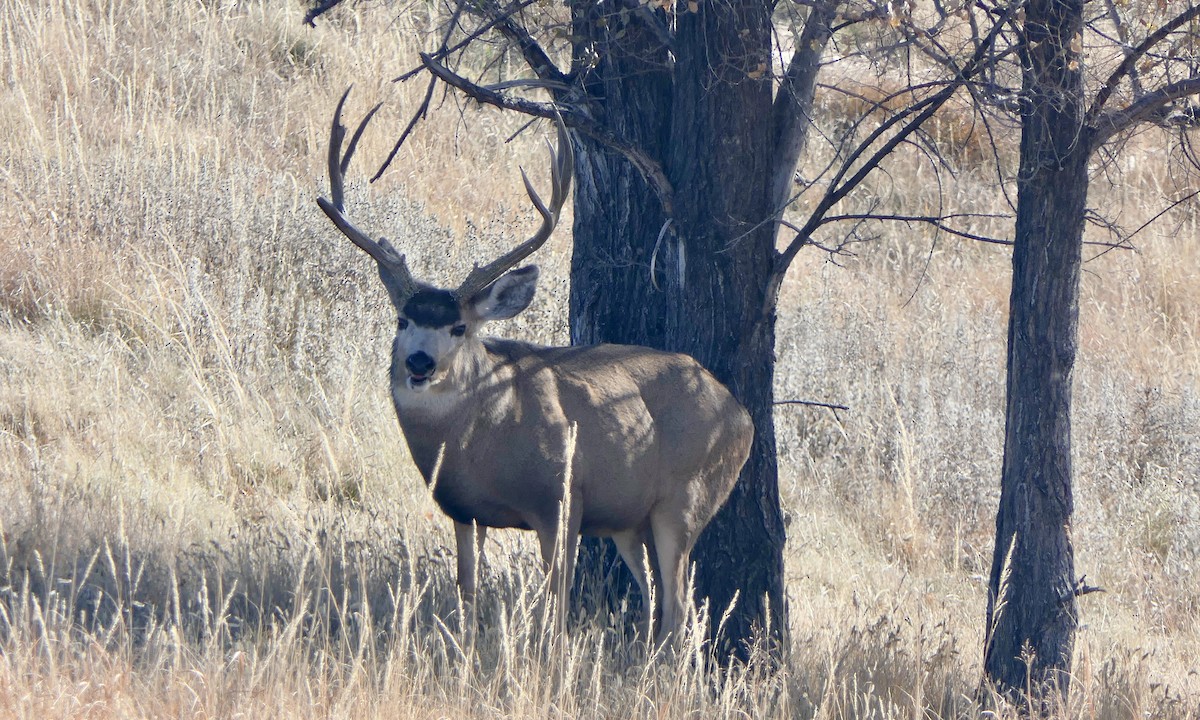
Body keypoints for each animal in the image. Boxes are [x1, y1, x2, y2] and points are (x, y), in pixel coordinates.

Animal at [316, 89, 753, 645]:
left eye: (460, 328)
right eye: (401, 319)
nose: (419, 361)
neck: (484, 432)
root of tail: (743, 415)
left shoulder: (561, 499)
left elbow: (555, 609)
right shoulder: (462, 509)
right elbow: (468, 594)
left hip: (686, 498)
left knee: (680, 611)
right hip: (631, 522)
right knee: (662, 605)